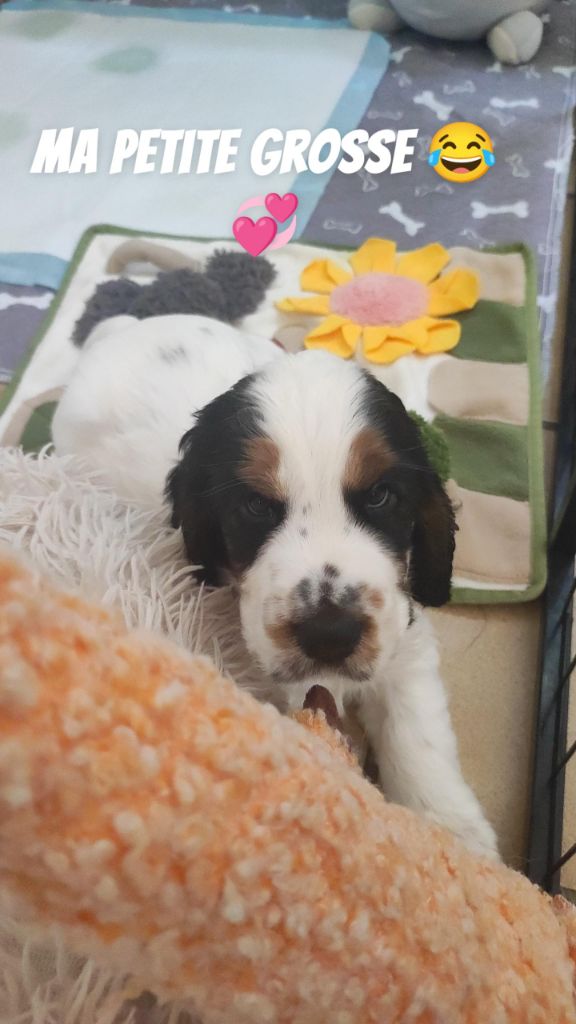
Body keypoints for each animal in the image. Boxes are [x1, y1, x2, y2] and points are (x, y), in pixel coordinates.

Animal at [53, 316, 498, 859]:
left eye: (380, 495)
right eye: (255, 506)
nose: (330, 634)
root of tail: (127, 326)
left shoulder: (403, 634)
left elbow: (416, 729)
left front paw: (457, 837)